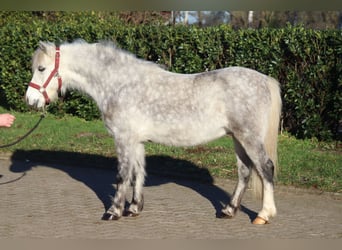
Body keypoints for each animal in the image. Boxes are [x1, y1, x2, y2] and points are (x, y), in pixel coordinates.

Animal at [26, 41, 280, 225]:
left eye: (41, 69)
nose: (30, 100)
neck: (120, 84)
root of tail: (264, 80)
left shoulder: (123, 139)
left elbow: (122, 176)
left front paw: (113, 211)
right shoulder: (136, 141)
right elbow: (138, 173)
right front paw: (134, 208)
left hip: (248, 137)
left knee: (265, 168)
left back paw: (263, 215)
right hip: (238, 138)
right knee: (245, 172)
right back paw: (228, 210)